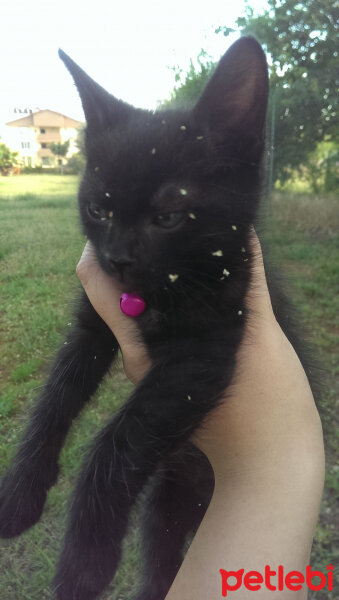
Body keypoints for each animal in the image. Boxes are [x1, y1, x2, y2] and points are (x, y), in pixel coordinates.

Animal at [0, 38, 316, 600]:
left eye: (168, 216)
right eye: (98, 209)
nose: (117, 259)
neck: (149, 297)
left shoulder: (204, 351)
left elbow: (117, 439)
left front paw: (84, 564)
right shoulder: (93, 324)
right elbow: (53, 398)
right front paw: (20, 491)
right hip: (166, 501)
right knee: (161, 562)